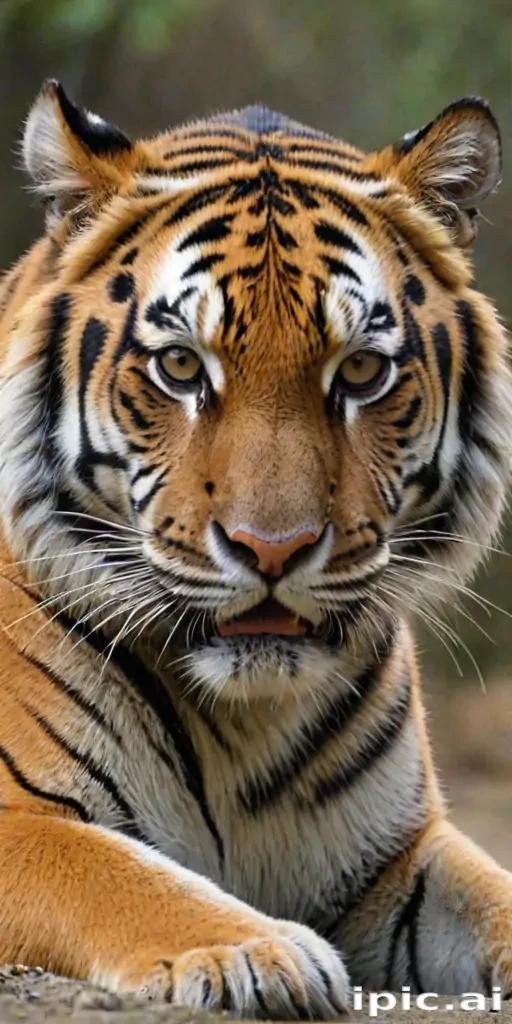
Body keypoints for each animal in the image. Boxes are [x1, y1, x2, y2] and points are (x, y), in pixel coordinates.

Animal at [0, 77, 510, 1018]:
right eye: (179, 367)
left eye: (360, 372)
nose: (273, 550)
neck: (245, 724)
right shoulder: (23, 817)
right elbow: (112, 873)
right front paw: (257, 950)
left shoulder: (396, 857)